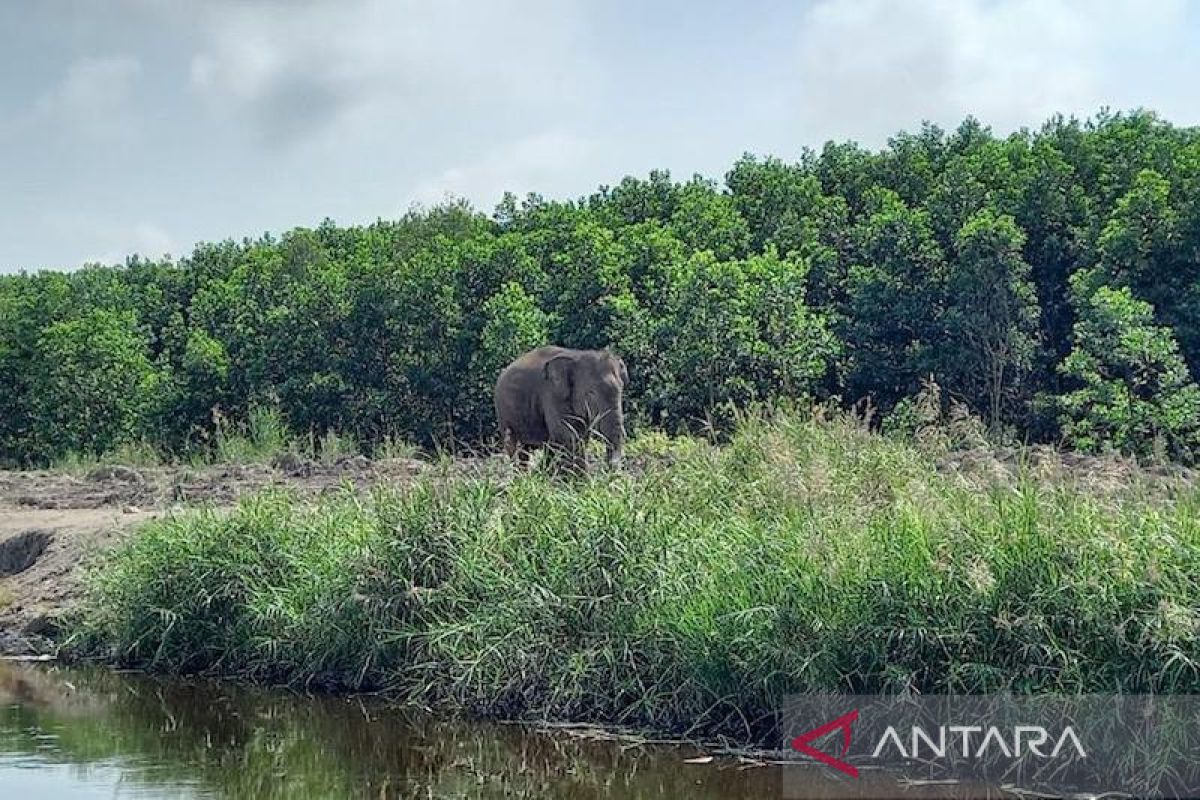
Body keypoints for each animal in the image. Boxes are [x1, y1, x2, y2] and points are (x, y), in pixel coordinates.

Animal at [494, 345, 628, 470]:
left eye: (621, 389)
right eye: (591, 393)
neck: (578, 356)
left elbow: (580, 437)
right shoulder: (552, 393)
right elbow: (567, 435)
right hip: (503, 412)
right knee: (514, 446)